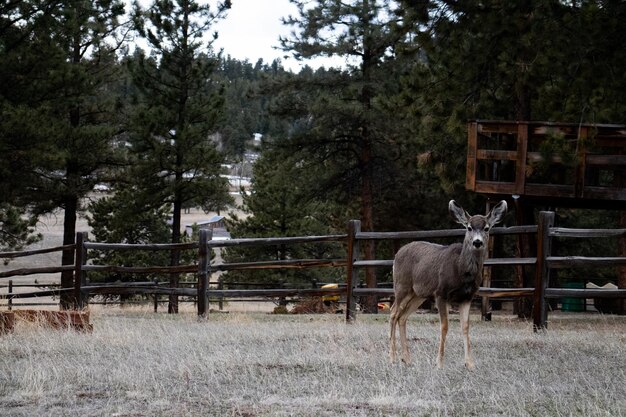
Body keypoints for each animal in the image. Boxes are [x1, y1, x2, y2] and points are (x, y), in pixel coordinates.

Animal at [390, 199, 508, 368]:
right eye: (469, 227)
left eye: (486, 228)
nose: (477, 242)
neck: (461, 270)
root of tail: (397, 254)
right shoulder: (441, 293)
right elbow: (444, 326)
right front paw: (439, 363)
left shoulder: (467, 297)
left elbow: (465, 327)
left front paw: (470, 364)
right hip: (401, 285)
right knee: (393, 313)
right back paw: (392, 357)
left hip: (418, 294)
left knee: (402, 316)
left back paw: (407, 358)